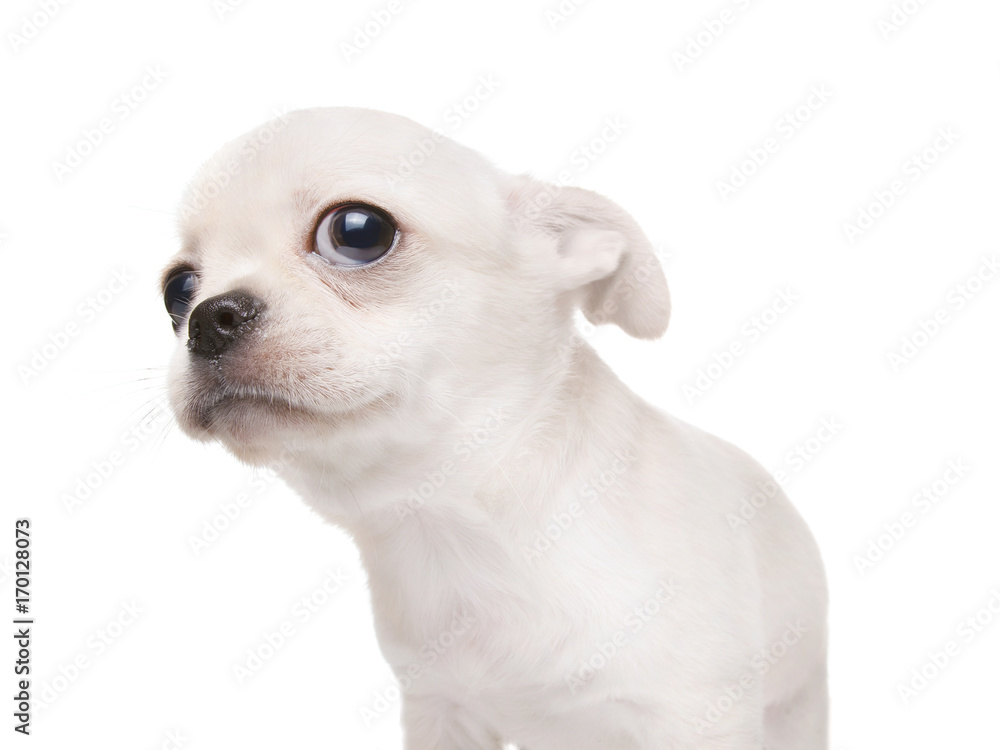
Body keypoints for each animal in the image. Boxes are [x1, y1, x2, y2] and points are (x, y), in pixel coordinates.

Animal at [162, 107, 828, 750]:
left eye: (359, 232)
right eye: (176, 290)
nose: (209, 319)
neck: (454, 527)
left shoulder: (698, 716)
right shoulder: (440, 710)